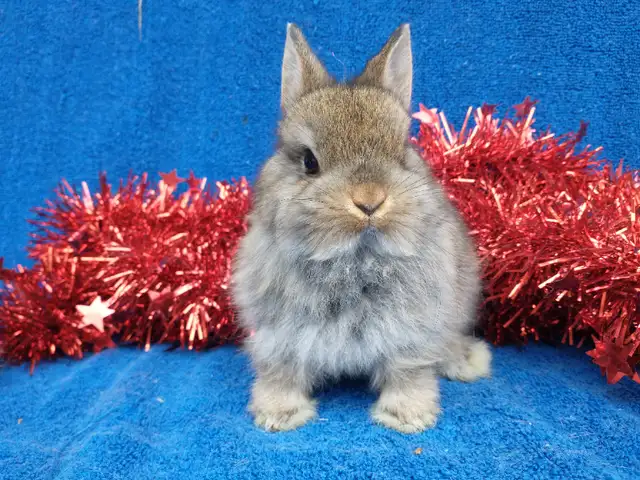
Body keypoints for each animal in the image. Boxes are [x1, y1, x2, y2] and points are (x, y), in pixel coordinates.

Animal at [231, 23, 491, 434]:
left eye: (401, 151)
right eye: (309, 161)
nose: (370, 200)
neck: (355, 259)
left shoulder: (411, 334)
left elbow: (408, 372)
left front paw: (408, 417)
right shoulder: (280, 336)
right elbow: (282, 372)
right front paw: (278, 415)